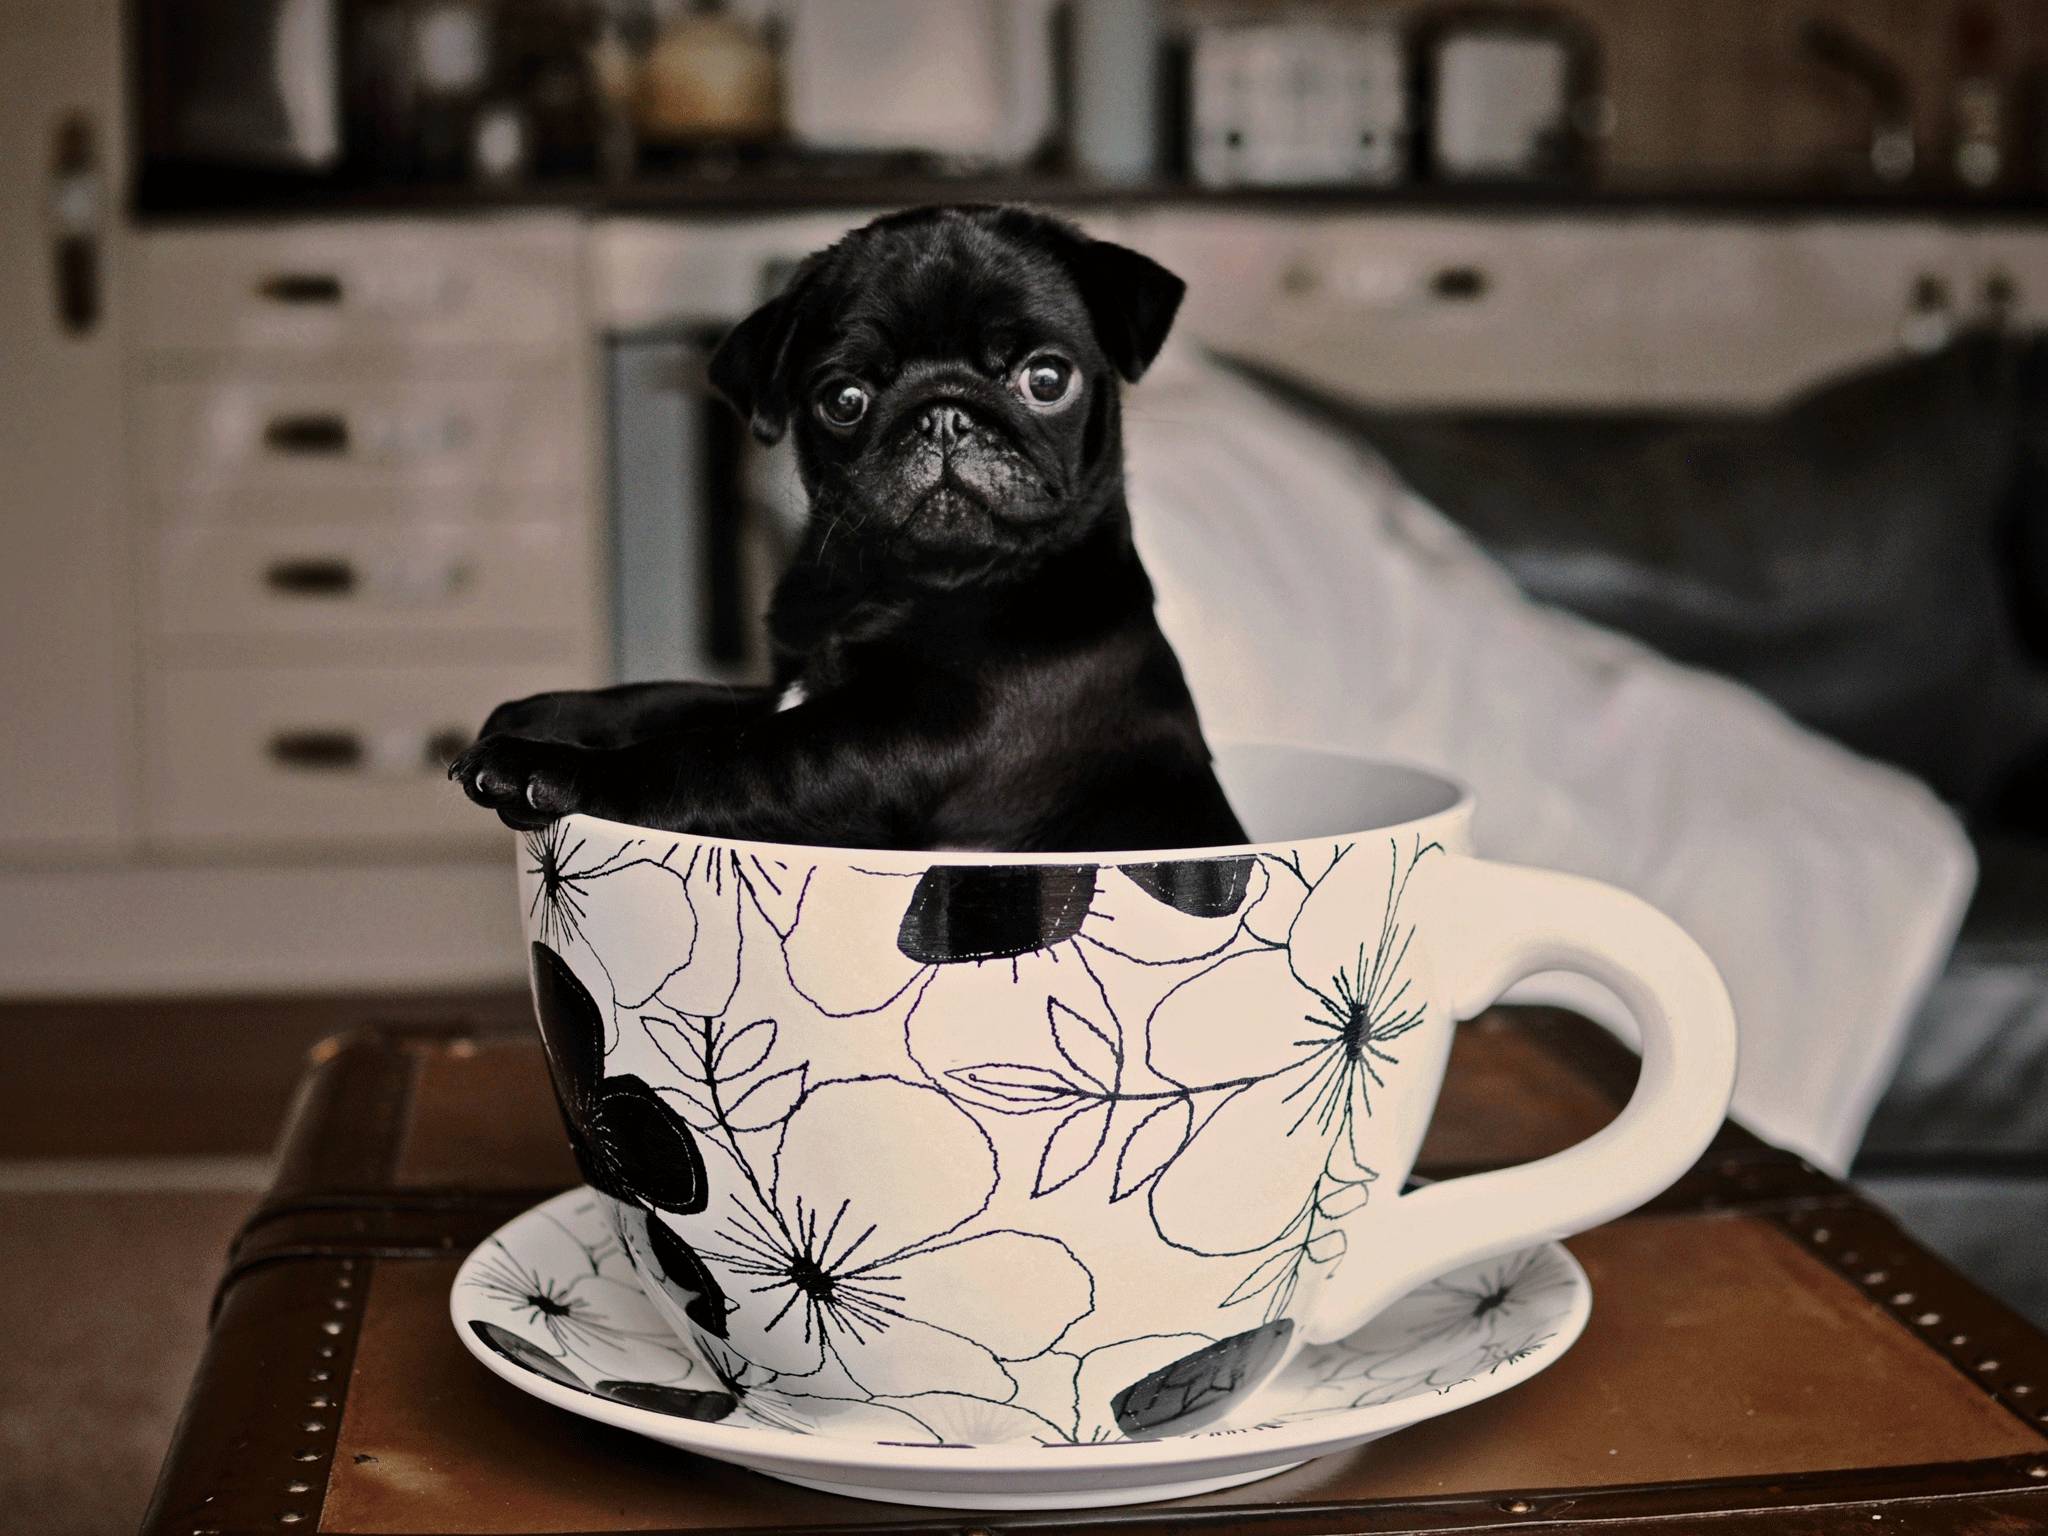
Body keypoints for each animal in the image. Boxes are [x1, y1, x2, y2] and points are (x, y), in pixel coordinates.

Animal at [454, 202, 1236, 856]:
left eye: (1046, 380)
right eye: (844, 399)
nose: (944, 412)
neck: (901, 589)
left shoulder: (887, 742)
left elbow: (712, 755)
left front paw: (544, 763)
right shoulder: (787, 690)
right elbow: (672, 698)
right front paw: (545, 713)